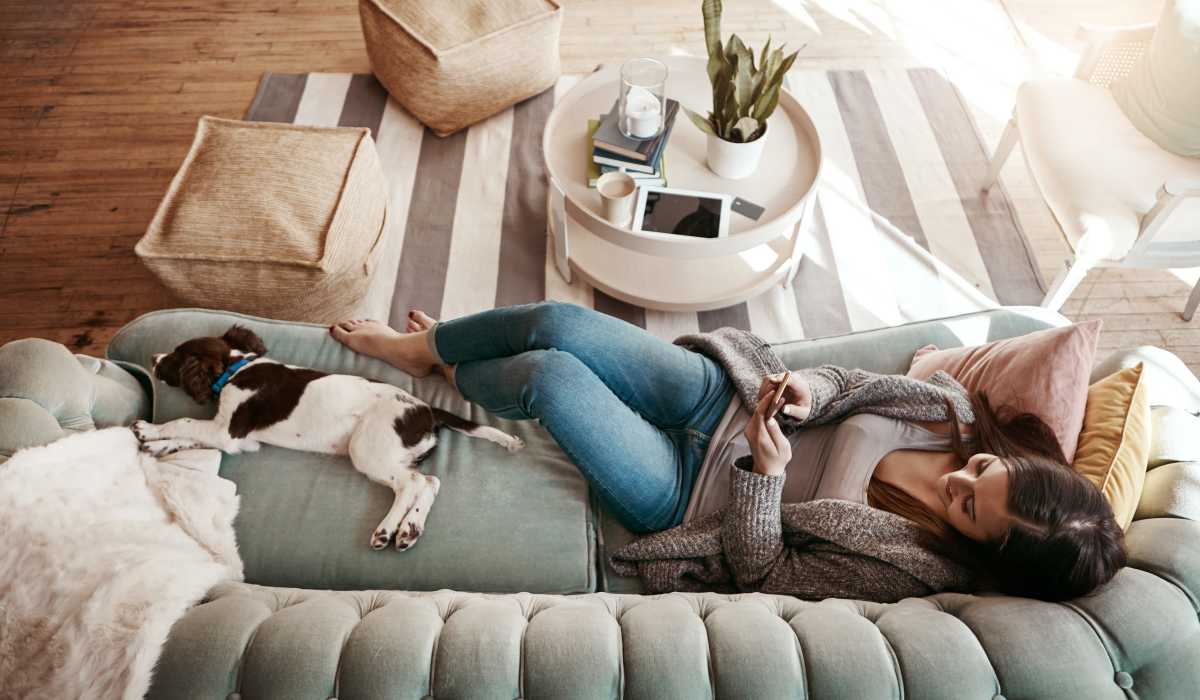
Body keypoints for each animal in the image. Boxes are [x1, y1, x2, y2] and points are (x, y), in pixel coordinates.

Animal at [133, 326, 523, 552]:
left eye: (175, 356)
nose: (151, 356)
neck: (235, 368)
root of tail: (426, 408)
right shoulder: (237, 438)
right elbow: (190, 438)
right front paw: (157, 444)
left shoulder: (229, 431)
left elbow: (186, 421)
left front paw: (151, 430)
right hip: (397, 454)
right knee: (430, 482)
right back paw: (409, 529)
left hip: (367, 449)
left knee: (411, 483)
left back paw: (387, 530)